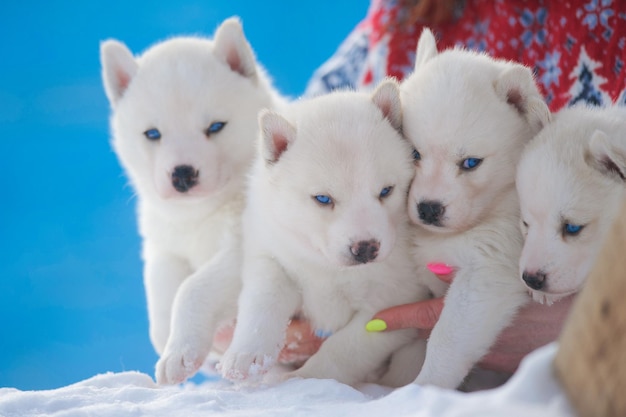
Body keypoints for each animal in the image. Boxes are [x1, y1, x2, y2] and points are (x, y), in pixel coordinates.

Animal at [99, 17, 282, 386]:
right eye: (152, 134)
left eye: (215, 126)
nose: (182, 174)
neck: (201, 215)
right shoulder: (165, 244)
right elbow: (160, 288)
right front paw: (170, 340)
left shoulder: (240, 248)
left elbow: (192, 289)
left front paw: (180, 352)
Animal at [217, 79, 426, 386]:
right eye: (323, 199)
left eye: (386, 191)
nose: (366, 247)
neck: (329, 269)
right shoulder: (273, 256)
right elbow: (262, 301)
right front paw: (246, 353)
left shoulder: (395, 301)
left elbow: (345, 349)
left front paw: (305, 378)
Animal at [400, 29, 552, 390]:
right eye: (414, 154)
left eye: (471, 163)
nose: (428, 209)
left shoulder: (488, 270)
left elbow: (447, 339)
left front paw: (422, 388)